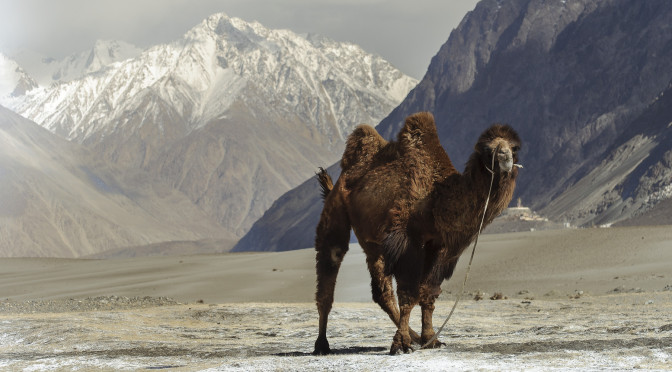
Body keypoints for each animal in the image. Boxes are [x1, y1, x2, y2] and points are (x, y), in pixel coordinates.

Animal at [312, 110, 520, 354]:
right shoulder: (407, 239)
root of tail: (336, 183)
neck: (438, 197)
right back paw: (322, 344)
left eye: (514, 147)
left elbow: (428, 293)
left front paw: (431, 338)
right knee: (330, 264)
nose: (505, 157)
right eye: (488, 150)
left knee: (381, 290)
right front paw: (401, 344)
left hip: (373, 242)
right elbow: (409, 293)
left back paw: (416, 337)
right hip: (336, 211)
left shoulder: (439, 245)